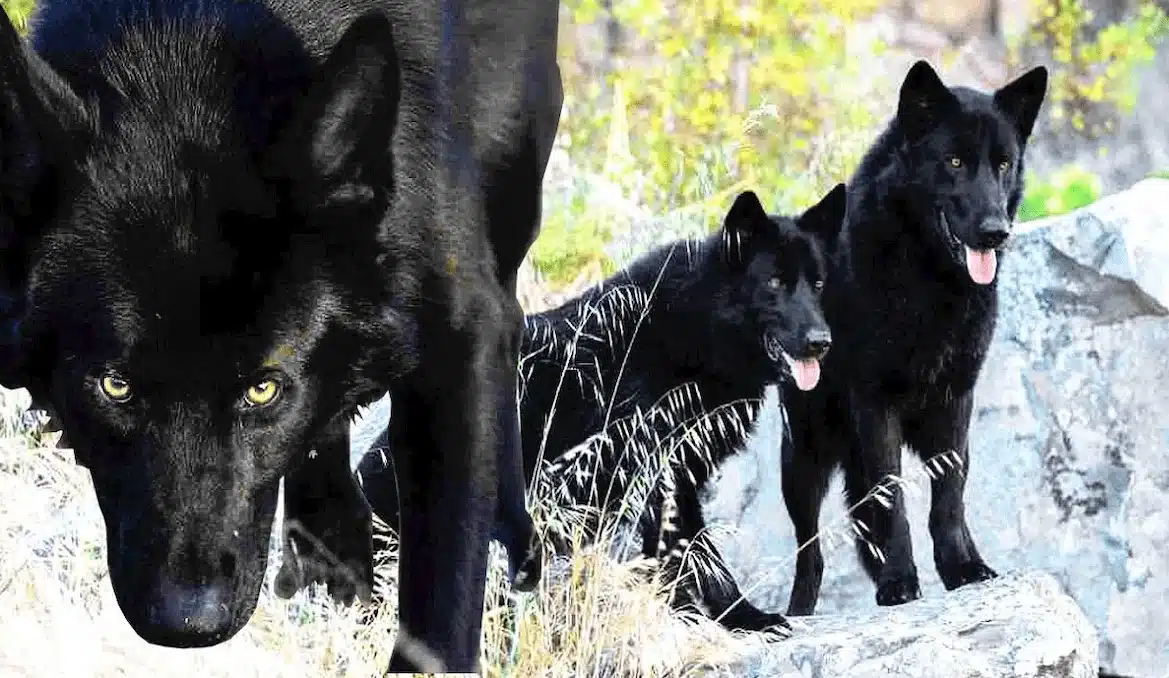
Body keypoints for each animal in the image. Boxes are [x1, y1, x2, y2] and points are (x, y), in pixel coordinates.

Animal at [0, 0, 562, 671]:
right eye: (115, 386)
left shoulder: (457, 338)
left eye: (263, 389)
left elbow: (442, 601)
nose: (187, 623)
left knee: (510, 320)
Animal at [356, 184, 846, 634]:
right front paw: (739, 618)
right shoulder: (661, 479)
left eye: (819, 284)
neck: (697, 324)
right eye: (775, 283)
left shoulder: (674, 481)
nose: (823, 343)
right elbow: (701, 558)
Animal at [780, 60, 1049, 616]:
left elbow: (949, 498)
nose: (996, 231)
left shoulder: (956, 400)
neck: (930, 281)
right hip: (802, 458)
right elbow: (895, 503)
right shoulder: (876, 405)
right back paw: (797, 611)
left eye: (1004, 165)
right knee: (809, 550)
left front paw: (962, 568)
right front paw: (901, 582)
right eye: (954, 161)